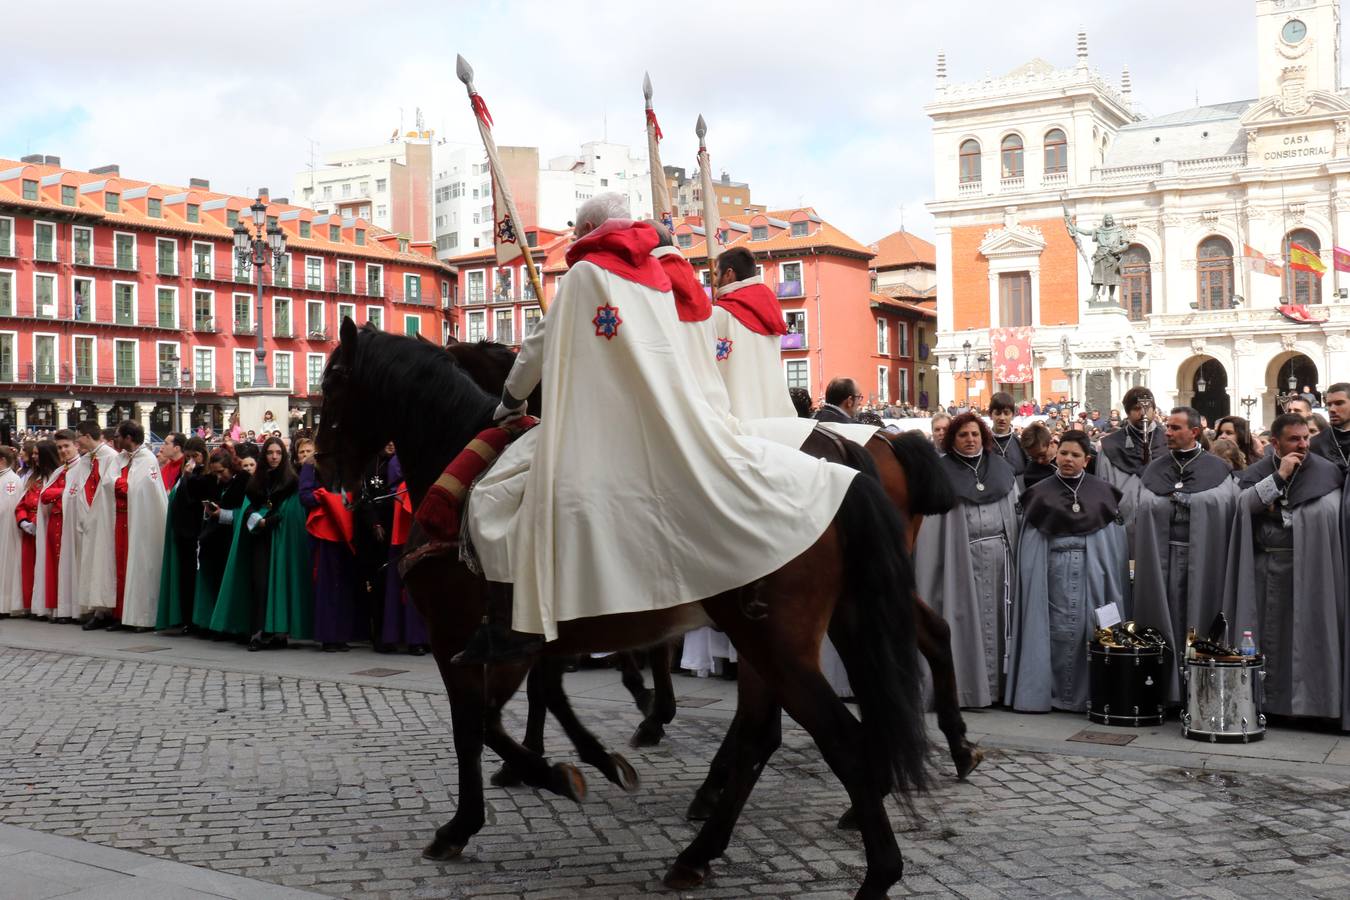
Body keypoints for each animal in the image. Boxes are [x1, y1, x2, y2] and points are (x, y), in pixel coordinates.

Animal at [315, 319, 928, 895]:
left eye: (333, 380)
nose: (322, 467)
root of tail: (842, 469)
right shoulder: (530, 640)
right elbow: (527, 703)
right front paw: (588, 759)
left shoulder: (457, 636)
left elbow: (475, 725)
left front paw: (484, 811)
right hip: (781, 641)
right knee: (765, 734)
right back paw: (699, 850)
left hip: (777, 646)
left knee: (840, 740)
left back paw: (876, 871)